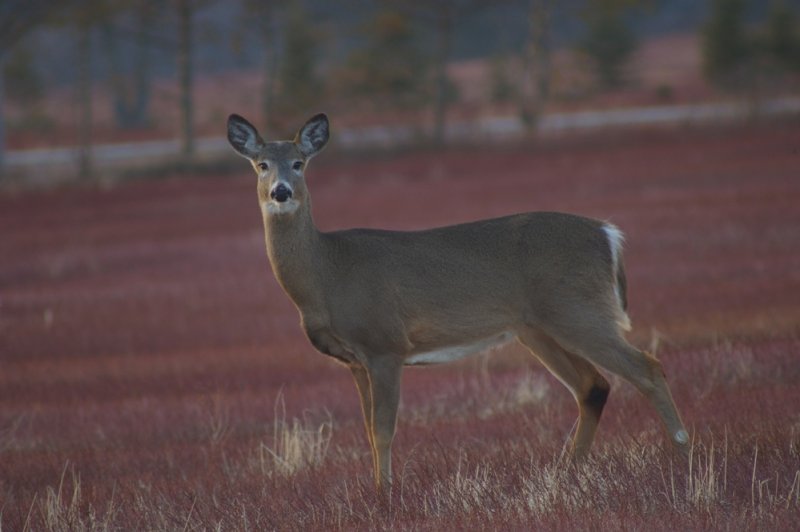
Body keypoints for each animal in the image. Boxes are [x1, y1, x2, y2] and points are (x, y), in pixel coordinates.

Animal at [228, 112, 692, 490]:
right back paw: (569, 471)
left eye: (299, 162)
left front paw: (385, 495)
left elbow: (383, 429)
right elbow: (367, 430)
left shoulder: (385, 344)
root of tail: (607, 234)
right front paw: (376, 489)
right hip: (538, 328)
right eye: (261, 164)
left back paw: (683, 458)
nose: (281, 192)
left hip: (579, 310)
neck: (326, 274)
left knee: (646, 368)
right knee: (593, 386)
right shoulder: (354, 361)